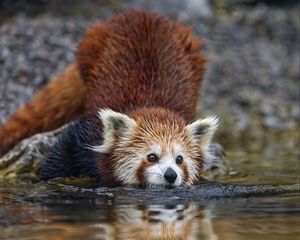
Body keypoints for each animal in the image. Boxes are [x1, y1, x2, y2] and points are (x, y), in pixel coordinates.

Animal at [0, 10, 218, 188]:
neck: (152, 103)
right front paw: (47, 179)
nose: (171, 175)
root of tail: (142, 13)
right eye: (152, 157)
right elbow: (62, 156)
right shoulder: (89, 131)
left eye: (179, 159)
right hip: (92, 47)